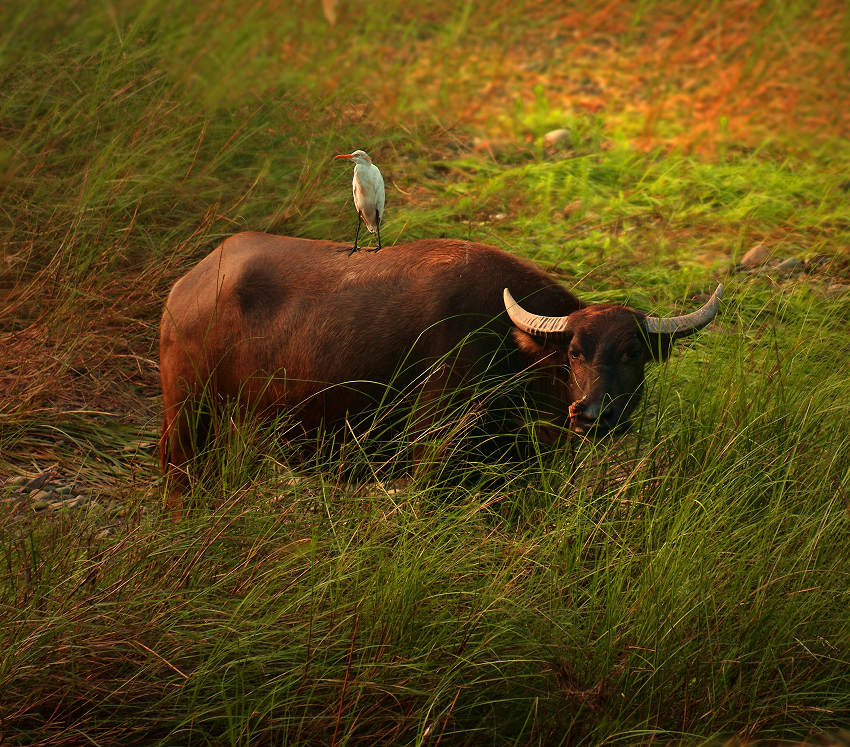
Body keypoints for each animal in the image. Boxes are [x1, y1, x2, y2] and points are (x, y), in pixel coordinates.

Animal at [157, 232, 716, 502]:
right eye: (574, 352)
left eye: (632, 353)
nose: (592, 414)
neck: (510, 352)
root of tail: (188, 285)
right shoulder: (432, 455)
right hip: (185, 415)